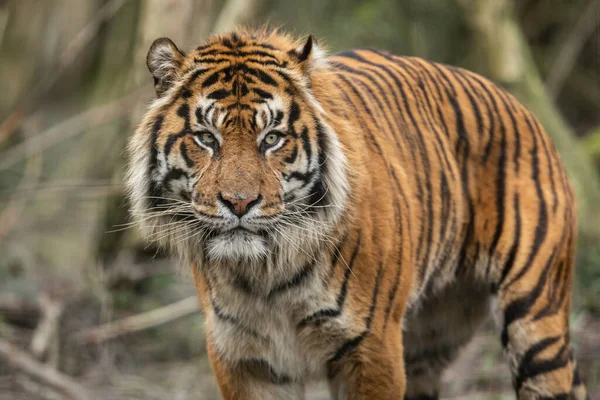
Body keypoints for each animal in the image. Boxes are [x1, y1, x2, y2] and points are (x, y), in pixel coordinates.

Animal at [124, 28, 588, 400]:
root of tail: (521, 105)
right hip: (426, 339)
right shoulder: (243, 358)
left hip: (535, 322)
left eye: (272, 138)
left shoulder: (371, 347)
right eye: (206, 138)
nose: (238, 202)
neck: (265, 276)